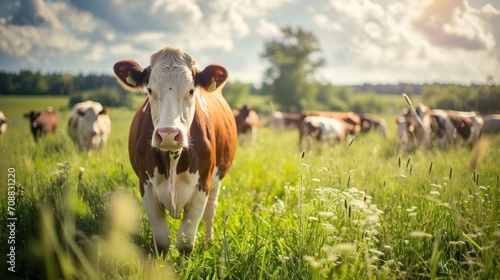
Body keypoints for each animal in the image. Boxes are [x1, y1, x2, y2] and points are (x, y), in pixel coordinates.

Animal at [113, 47, 238, 255]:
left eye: (191, 90)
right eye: (149, 90)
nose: (168, 134)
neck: (172, 158)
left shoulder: (202, 185)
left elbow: (185, 241)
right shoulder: (146, 185)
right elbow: (162, 240)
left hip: (216, 180)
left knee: (210, 210)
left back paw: (208, 242)